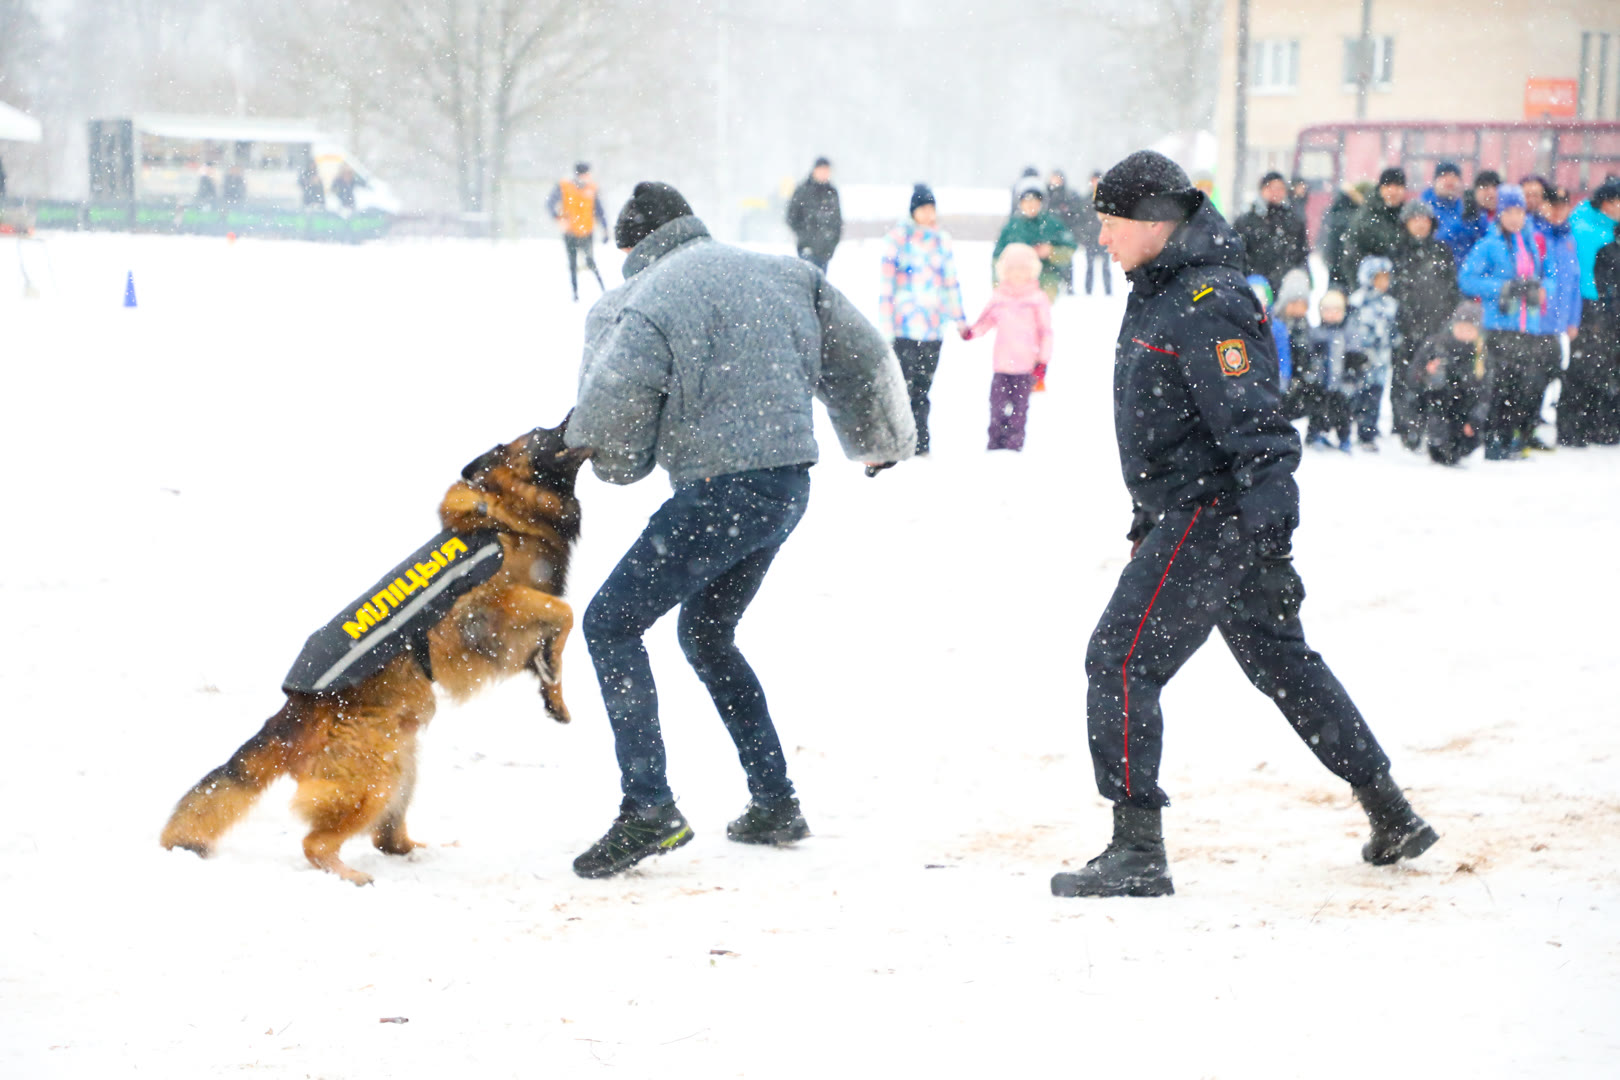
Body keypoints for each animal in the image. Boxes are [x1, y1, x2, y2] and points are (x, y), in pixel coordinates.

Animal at [157, 417, 586, 880]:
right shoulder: (490, 606)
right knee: (316, 844)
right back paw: (351, 875)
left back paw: (418, 852)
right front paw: (551, 671)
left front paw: (552, 690)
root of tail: (292, 714)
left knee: (386, 839)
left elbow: (553, 638)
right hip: (376, 776)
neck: (508, 515)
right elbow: (565, 612)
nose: (573, 417)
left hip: (404, 763)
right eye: (543, 432)